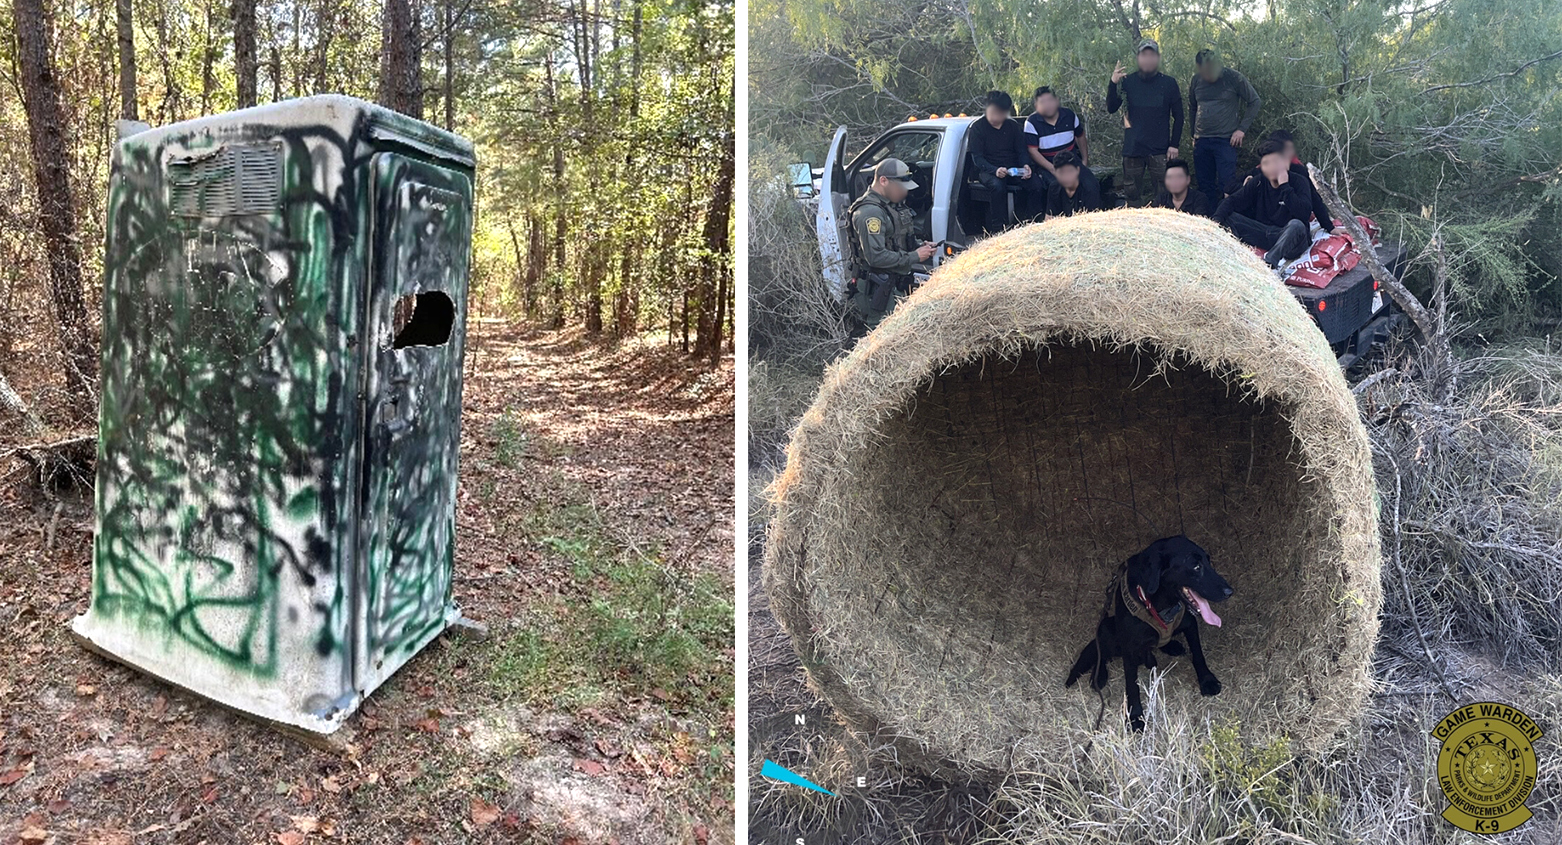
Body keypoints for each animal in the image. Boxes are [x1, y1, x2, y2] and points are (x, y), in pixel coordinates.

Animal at [1068, 537, 1237, 727]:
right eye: (1196, 566)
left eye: (1209, 562)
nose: (1229, 592)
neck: (1160, 604)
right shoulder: (1128, 647)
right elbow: (1132, 684)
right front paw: (1135, 716)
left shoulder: (1190, 624)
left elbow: (1198, 654)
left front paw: (1207, 680)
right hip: (1107, 626)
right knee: (1101, 651)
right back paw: (1099, 676)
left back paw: (1171, 646)